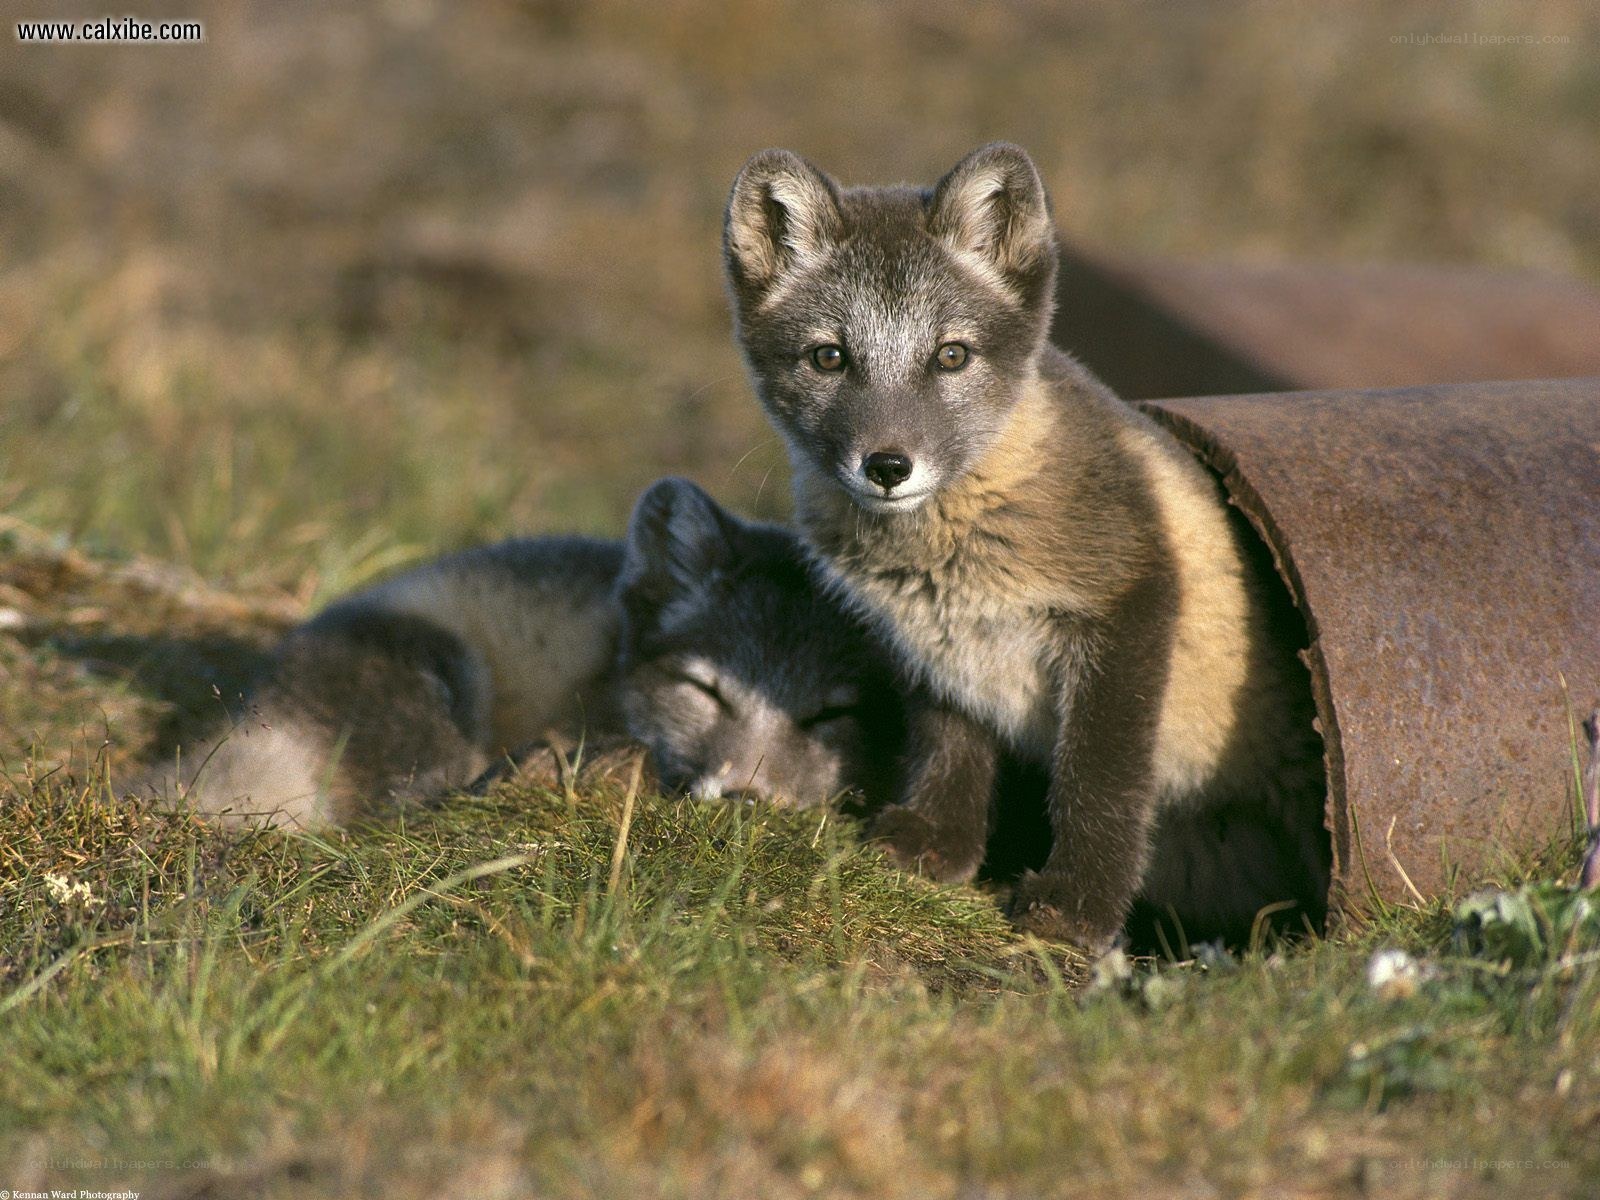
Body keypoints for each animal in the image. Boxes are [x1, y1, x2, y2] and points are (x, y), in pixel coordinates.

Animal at [723, 143, 1330, 949]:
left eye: (951, 356)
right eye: (828, 358)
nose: (887, 467)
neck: (949, 550)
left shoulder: (1128, 598)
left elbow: (1098, 780)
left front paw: (1078, 906)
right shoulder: (934, 645)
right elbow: (949, 745)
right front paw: (938, 845)